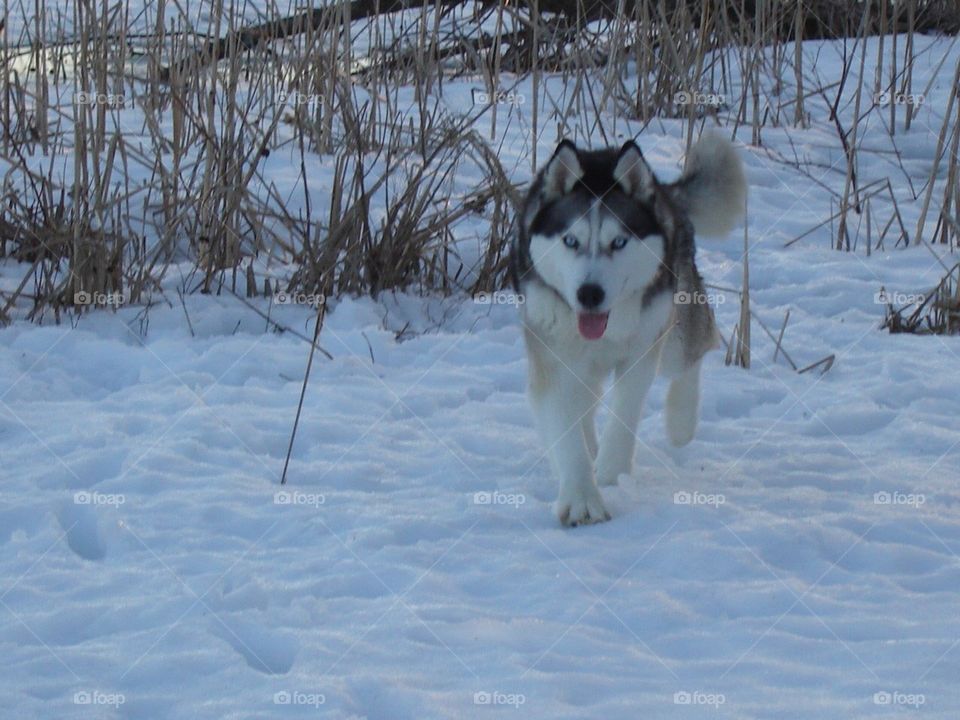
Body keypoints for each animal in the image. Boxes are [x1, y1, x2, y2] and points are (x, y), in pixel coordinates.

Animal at [510, 131, 746, 526]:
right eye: (570, 240)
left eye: (618, 242)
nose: (589, 293)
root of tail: (663, 192)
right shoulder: (552, 357)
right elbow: (565, 424)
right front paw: (581, 495)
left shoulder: (642, 350)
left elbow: (624, 413)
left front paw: (609, 474)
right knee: (585, 398)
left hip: (674, 324)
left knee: (693, 352)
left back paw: (681, 421)